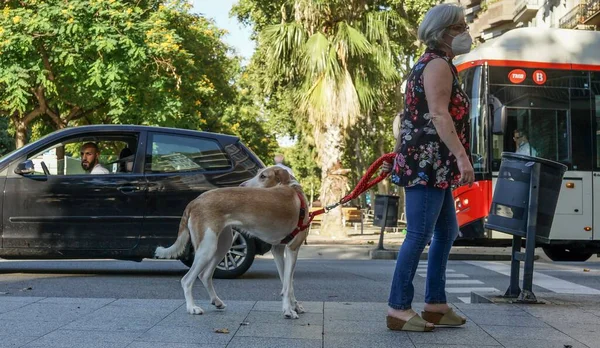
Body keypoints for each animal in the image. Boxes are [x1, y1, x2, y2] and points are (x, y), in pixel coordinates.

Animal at [155, 165, 308, 318]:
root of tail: (195, 201)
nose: (241, 185)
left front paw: (294, 305)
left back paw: (216, 301)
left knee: (205, 275)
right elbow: (287, 285)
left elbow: (287, 282)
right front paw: (288, 310)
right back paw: (192, 307)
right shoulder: (293, 248)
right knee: (187, 280)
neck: (294, 191)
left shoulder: (278, 250)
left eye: (263, 176)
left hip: (222, 245)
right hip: (207, 248)